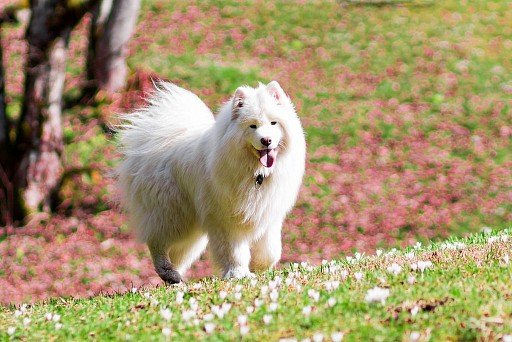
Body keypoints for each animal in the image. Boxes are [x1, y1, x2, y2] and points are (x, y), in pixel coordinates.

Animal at [117, 81, 304, 284]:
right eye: (252, 126)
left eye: (273, 123)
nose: (266, 140)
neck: (256, 173)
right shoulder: (225, 219)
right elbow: (234, 252)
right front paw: (238, 273)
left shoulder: (268, 216)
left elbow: (271, 251)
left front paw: (259, 267)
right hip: (173, 215)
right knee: (157, 242)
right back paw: (167, 271)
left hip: (190, 227)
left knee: (177, 253)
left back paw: (175, 278)